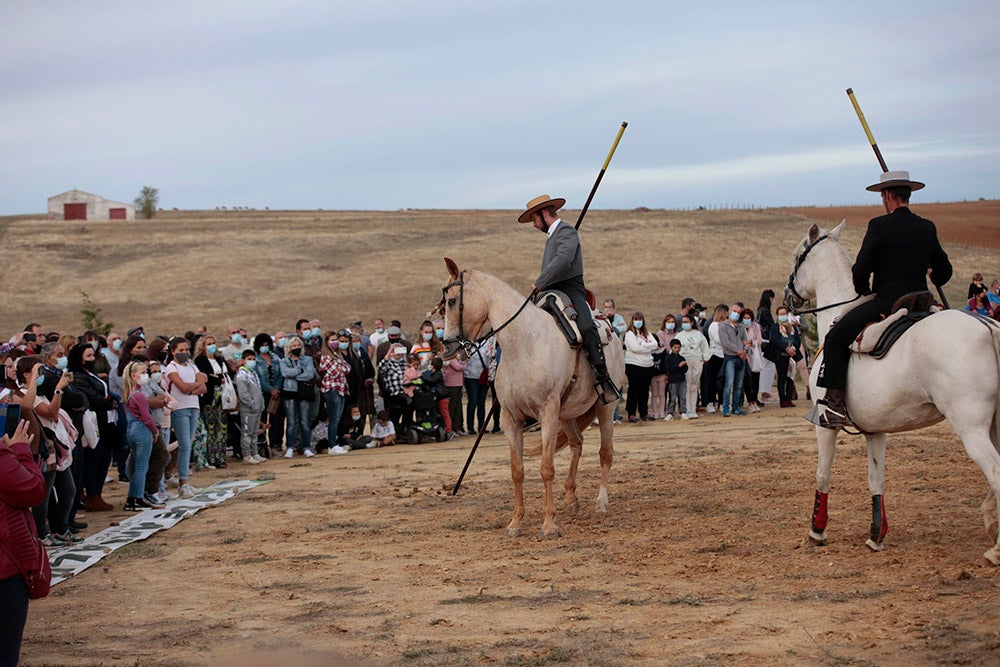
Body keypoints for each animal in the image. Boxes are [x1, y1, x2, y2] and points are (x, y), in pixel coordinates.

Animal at [440, 258, 624, 540]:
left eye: (451, 301)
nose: (447, 347)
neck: (524, 344)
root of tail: (609, 328)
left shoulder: (547, 412)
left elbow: (546, 468)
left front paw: (549, 525)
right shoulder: (510, 418)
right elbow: (517, 471)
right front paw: (515, 523)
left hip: (605, 406)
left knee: (605, 452)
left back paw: (601, 503)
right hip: (566, 413)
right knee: (577, 444)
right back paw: (571, 498)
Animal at [780, 223, 1000, 564]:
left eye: (796, 256)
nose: (787, 296)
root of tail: (987, 326)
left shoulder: (825, 426)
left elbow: (822, 474)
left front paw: (817, 530)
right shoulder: (875, 430)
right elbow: (876, 478)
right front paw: (876, 535)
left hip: (972, 429)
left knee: (996, 473)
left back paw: (996, 550)